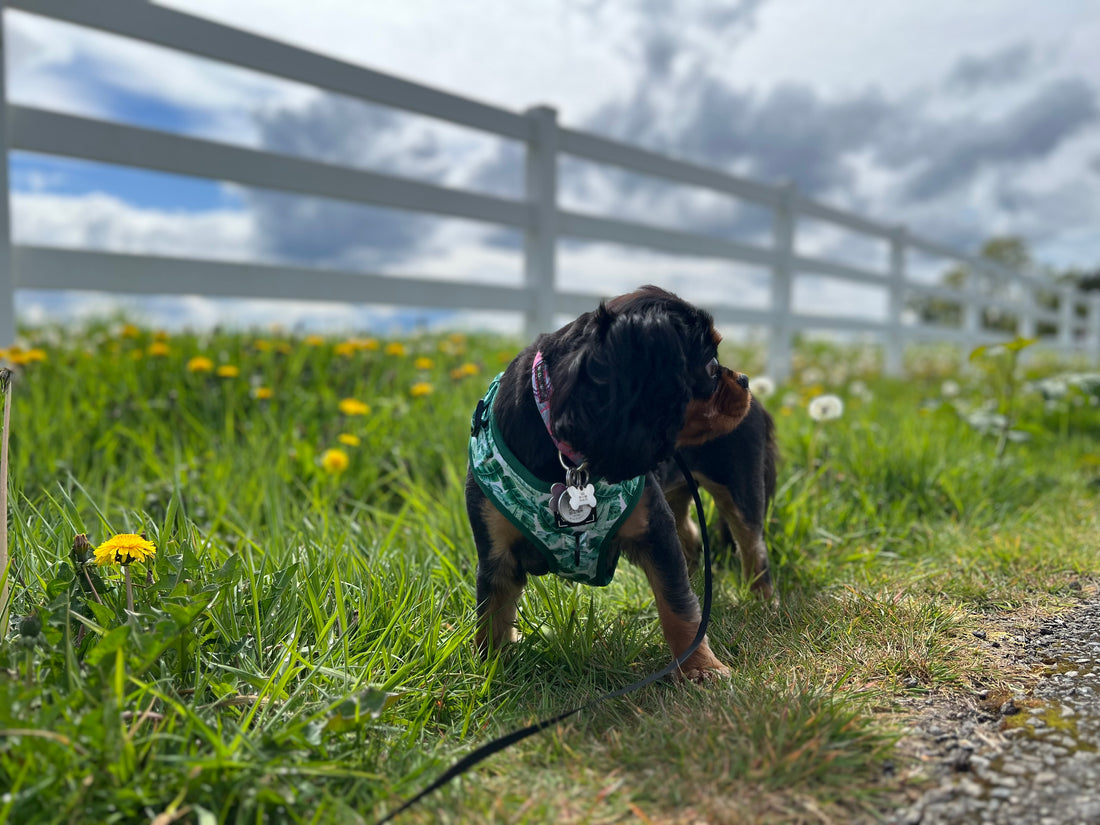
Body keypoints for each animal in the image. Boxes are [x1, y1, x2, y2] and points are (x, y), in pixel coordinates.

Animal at [468, 288, 778, 682]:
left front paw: (700, 668)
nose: (745, 380)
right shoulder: (496, 557)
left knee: (753, 547)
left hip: (739, 487)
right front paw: (487, 674)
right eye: (710, 365)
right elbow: (491, 615)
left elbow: (678, 606)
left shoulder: (656, 532)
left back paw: (764, 603)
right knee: (693, 537)